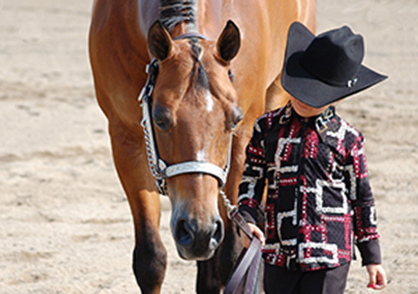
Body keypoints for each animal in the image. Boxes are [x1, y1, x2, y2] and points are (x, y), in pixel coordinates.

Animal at [90, 1, 316, 292]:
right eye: (159, 119)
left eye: (234, 119)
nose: (197, 231)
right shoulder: (125, 138)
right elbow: (150, 260)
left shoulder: (244, 138)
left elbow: (233, 256)